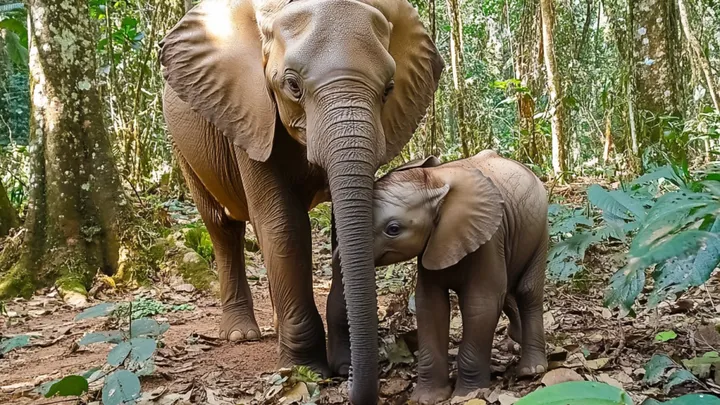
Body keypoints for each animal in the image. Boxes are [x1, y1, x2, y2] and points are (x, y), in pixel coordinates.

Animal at [159, 0, 443, 403]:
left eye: (389, 88)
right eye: (292, 85)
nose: (355, 384)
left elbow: (344, 222)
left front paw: (341, 364)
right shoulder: (249, 109)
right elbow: (284, 225)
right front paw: (305, 371)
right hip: (184, 143)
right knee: (222, 224)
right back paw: (241, 334)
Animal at [365, 150, 548, 403]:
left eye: (393, 229)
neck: (434, 180)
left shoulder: (489, 238)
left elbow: (481, 304)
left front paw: (466, 394)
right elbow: (430, 305)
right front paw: (427, 398)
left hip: (540, 228)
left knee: (526, 291)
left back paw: (532, 370)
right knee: (507, 292)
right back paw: (515, 339)